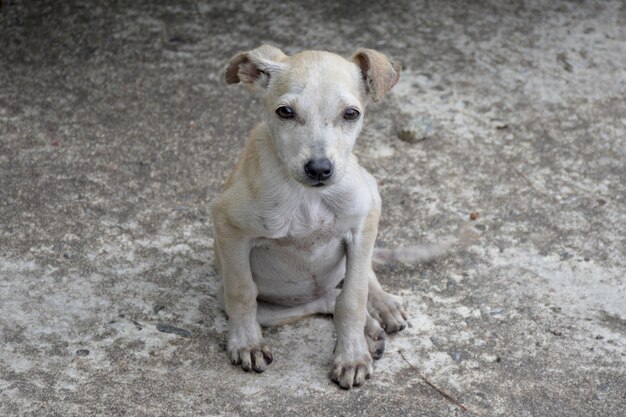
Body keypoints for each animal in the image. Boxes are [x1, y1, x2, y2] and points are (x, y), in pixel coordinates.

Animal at [212, 44, 408, 388]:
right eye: (285, 112)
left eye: (351, 113)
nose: (319, 169)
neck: (309, 199)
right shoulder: (228, 225)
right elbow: (242, 291)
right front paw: (247, 342)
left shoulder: (363, 222)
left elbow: (353, 297)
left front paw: (352, 355)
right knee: (325, 300)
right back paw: (370, 329)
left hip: (371, 196)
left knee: (354, 283)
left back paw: (381, 307)